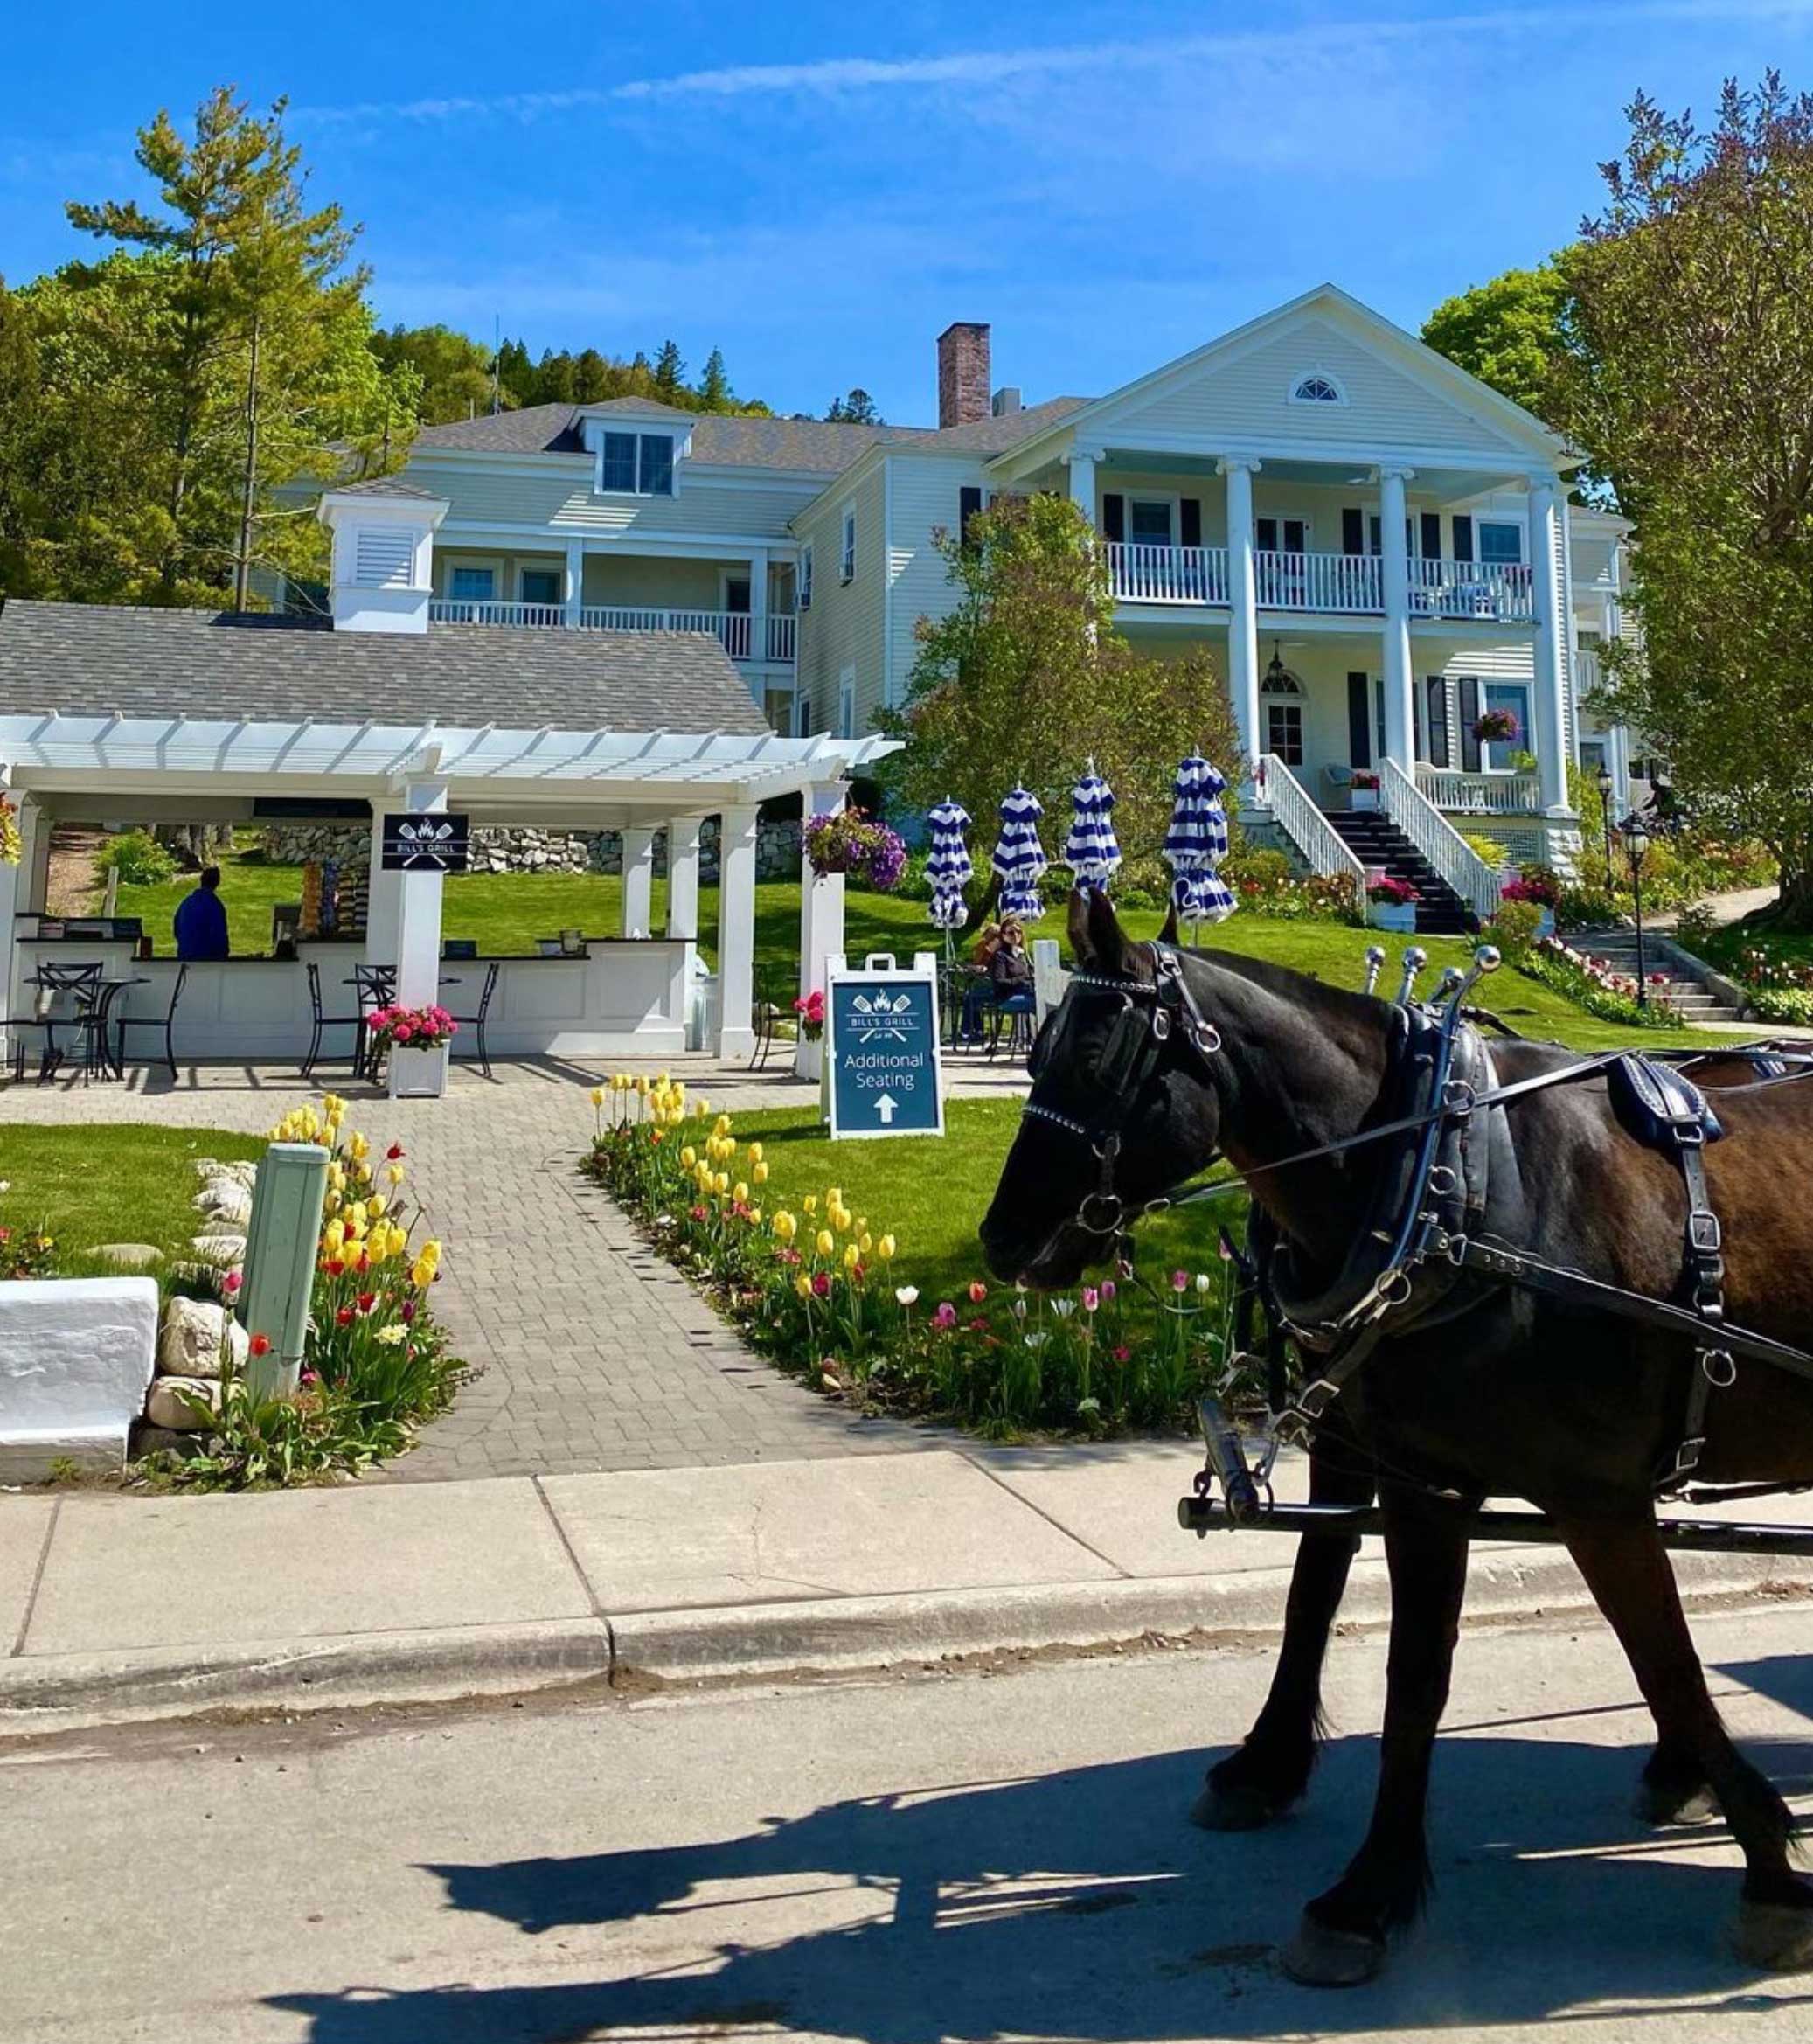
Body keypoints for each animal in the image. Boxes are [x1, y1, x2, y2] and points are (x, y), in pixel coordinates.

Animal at [985, 891, 1813, 1978]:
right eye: (1033, 1050)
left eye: (1092, 1056)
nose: (1000, 1240)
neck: (1452, 1185)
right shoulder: (1419, 1477)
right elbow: (1392, 1660)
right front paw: (1358, 1878)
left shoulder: (1598, 1496)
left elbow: (1666, 1663)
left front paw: (1766, 1862)